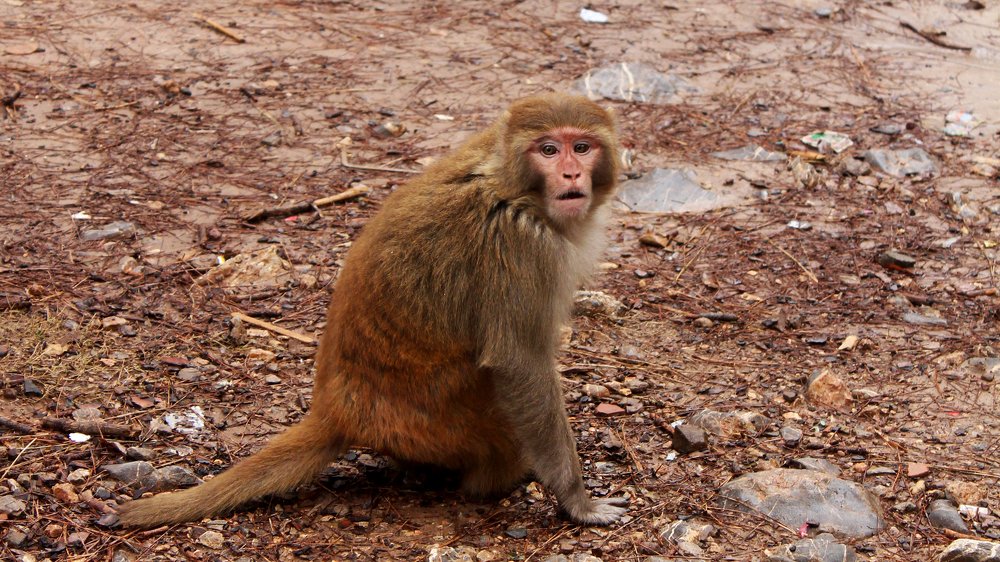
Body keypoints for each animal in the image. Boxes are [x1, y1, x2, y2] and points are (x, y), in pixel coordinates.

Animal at [118, 92, 628, 528]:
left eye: (581, 147)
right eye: (549, 150)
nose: (570, 175)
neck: (511, 184)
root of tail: (336, 410)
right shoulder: (521, 243)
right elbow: (519, 363)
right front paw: (577, 500)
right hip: (444, 424)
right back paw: (492, 479)